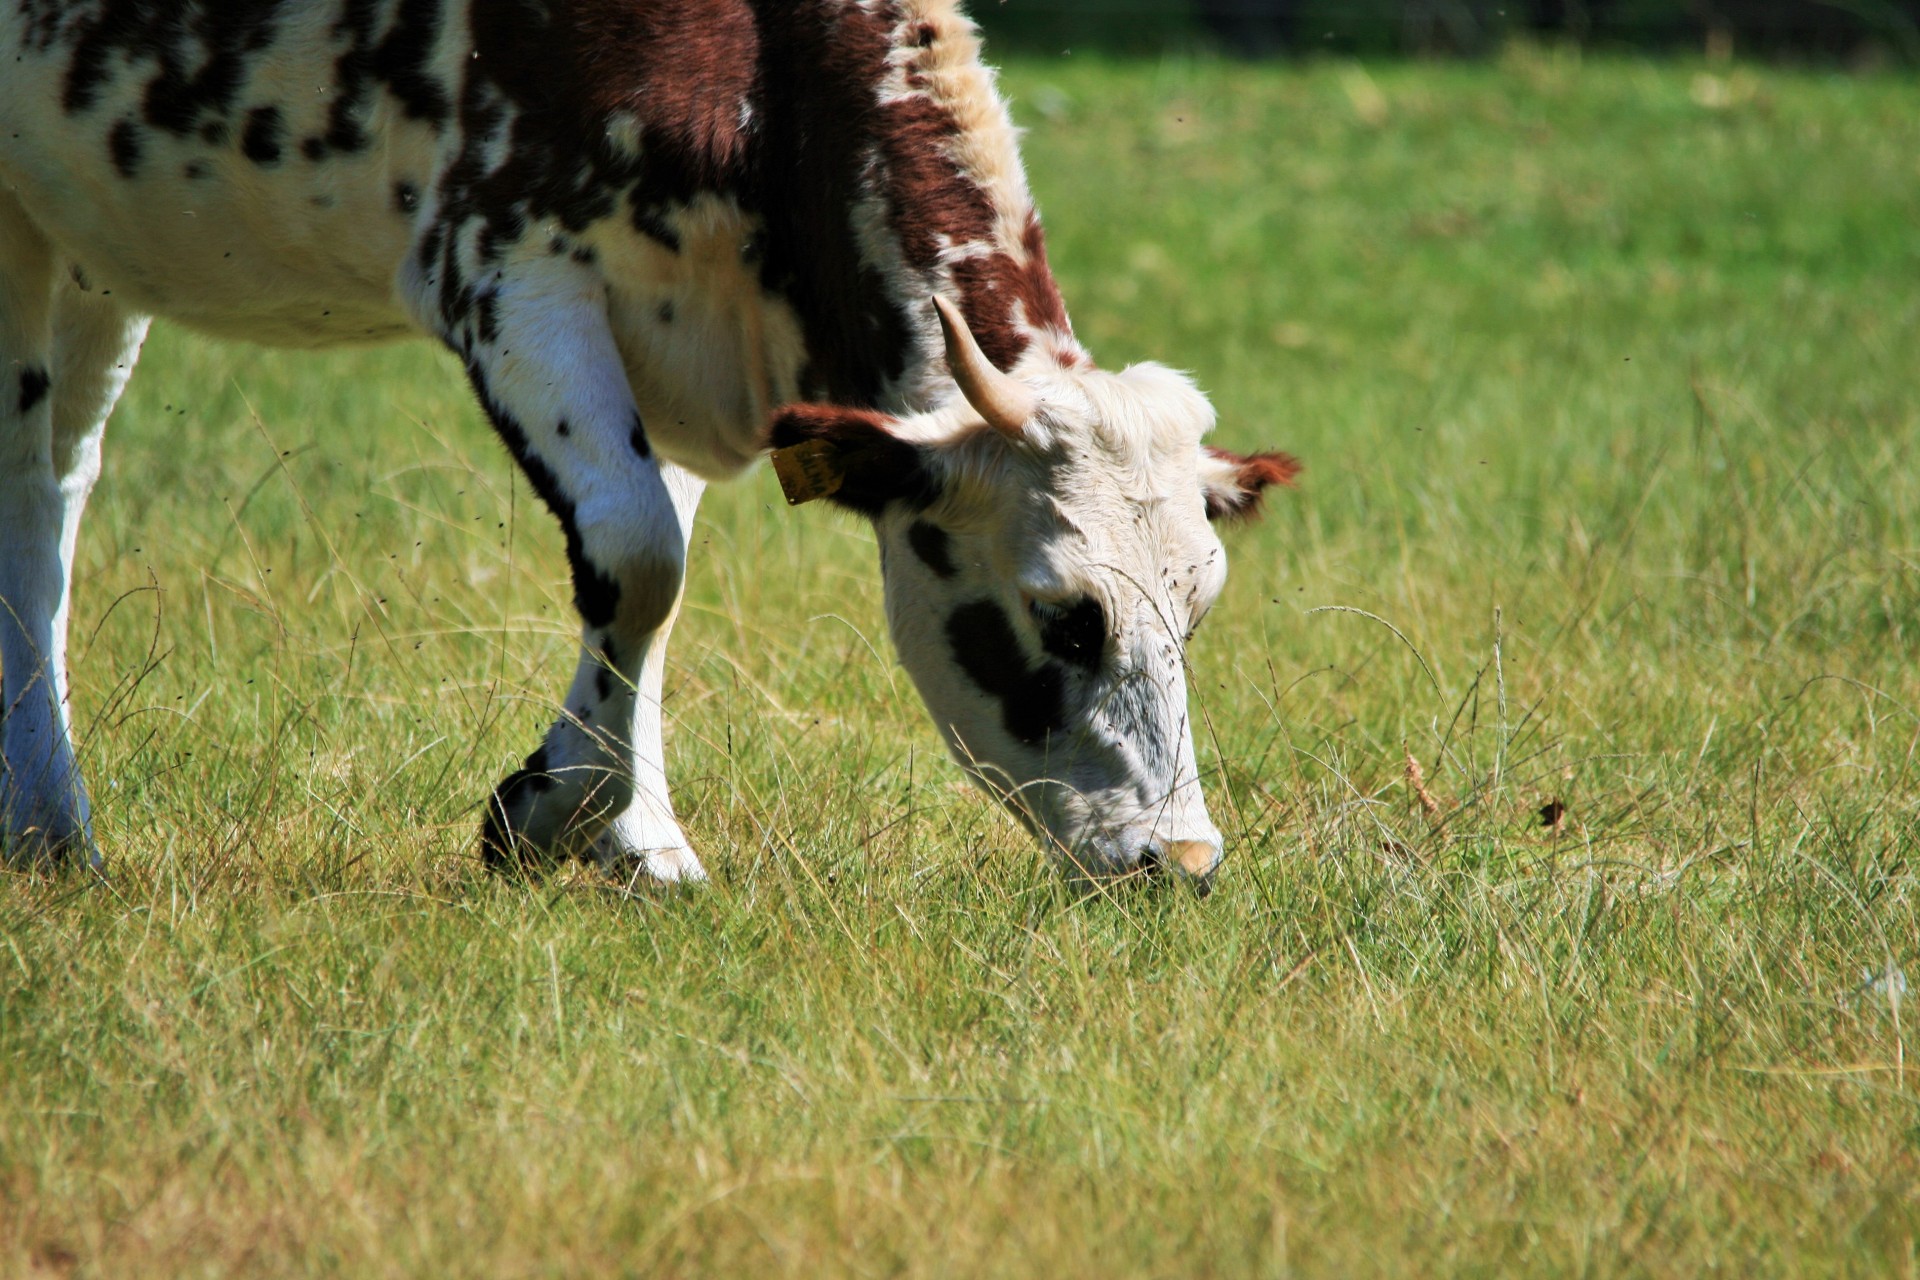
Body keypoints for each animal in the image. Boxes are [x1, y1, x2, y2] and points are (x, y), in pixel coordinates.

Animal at [0, 0, 1297, 898]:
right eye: (1063, 614)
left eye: (1198, 611)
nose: (1184, 861)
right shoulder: (505, 259)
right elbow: (639, 556)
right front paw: (556, 814)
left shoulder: (668, 341)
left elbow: (651, 596)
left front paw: (625, 830)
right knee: (24, 495)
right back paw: (46, 829)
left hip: (92, 249)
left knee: (64, 480)